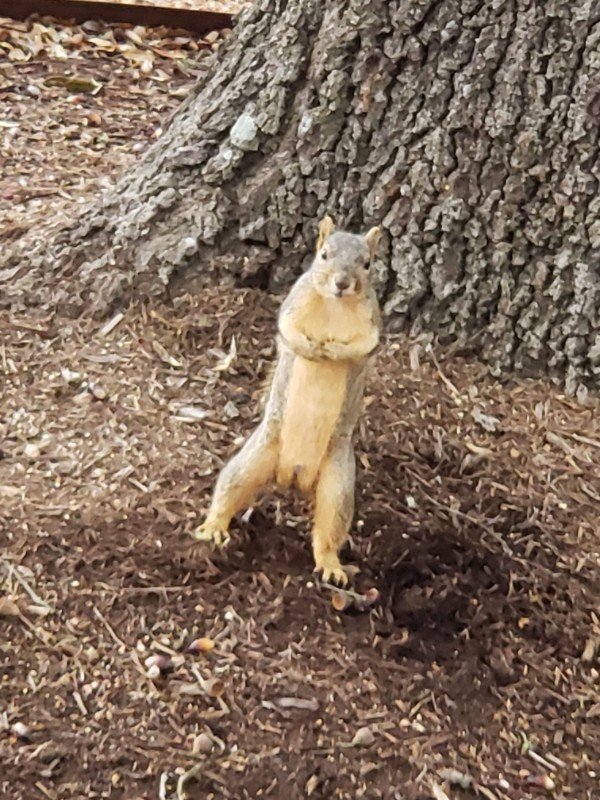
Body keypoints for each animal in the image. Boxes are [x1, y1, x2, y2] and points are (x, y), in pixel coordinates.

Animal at [195, 216, 382, 584]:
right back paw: (213, 526)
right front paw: (311, 347)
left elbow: (363, 346)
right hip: (256, 456)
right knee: (230, 488)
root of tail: (295, 476)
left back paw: (331, 566)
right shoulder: (295, 301)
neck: (335, 305)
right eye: (323, 255)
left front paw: (333, 351)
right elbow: (288, 328)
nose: (342, 283)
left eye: (367, 264)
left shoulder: (372, 324)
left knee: (328, 532)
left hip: (338, 481)